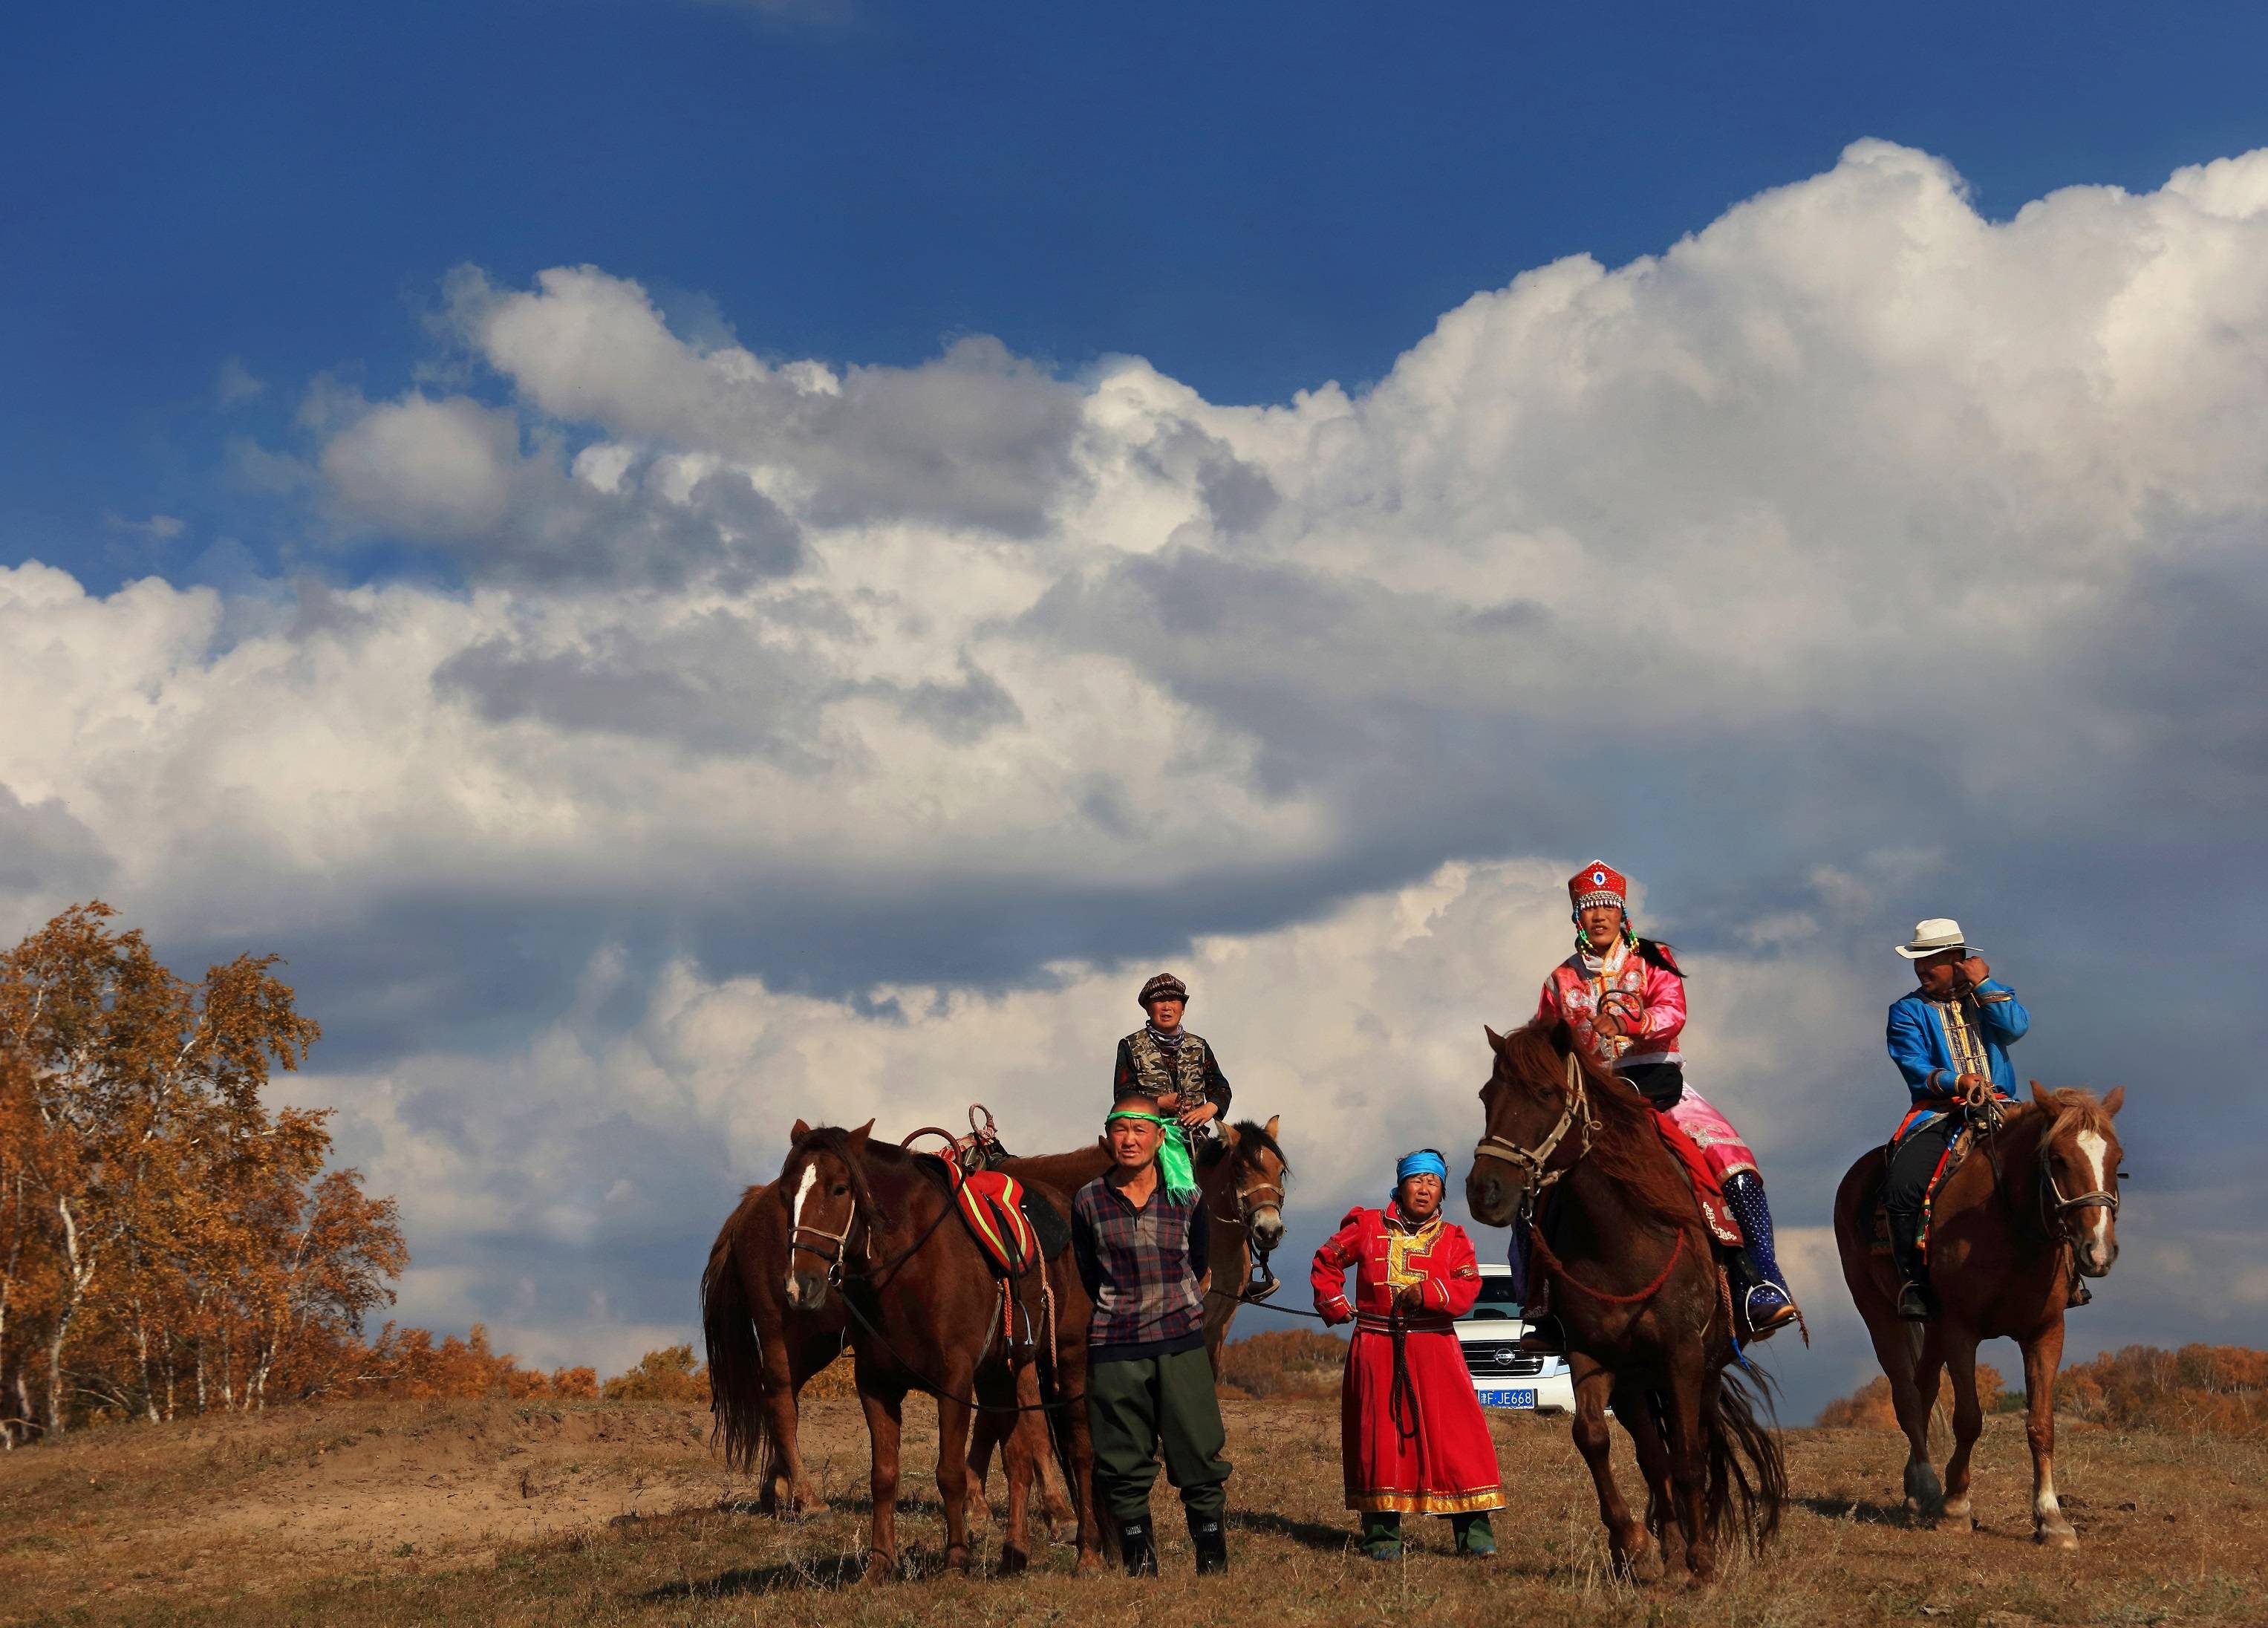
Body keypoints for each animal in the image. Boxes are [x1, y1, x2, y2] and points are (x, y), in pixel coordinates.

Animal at [775, 1124, 1102, 1577]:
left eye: (840, 1188)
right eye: (786, 1194)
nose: (799, 1286)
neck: (908, 1268)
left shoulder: (956, 1382)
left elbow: (950, 1473)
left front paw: (956, 1559)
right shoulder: (875, 1385)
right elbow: (884, 1476)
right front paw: (880, 1564)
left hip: (1069, 1359)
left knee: (1080, 1451)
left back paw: (1088, 1553)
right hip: (1003, 1371)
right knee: (1018, 1458)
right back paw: (1013, 1553)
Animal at [1460, 1024, 1778, 1587]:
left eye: (1546, 1093)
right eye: (1485, 1096)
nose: (1486, 1192)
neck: (1623, 1237)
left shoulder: (1683, 1356)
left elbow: (1689, 1458)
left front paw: (1703, 1562)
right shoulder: (1592, 1355)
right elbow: (1592, 1437)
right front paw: (1633, 1543)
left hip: (1704, 1369)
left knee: (1694, 1448)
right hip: (1635, 1384)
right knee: (1653, 1457)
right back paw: (1668, 1551)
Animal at [1823, 1088, 2122, 1551]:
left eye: (2117, 1159)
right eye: (2057, 1158)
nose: (2099, 1251)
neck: (2007, 1225)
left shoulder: (2045, 1334)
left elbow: (2042, 1424)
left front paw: (2052, 1519)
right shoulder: (1961, 1331)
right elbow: (1968, 1419)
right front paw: (1956, 1507)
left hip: (1932, 1328)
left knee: (1923, 1388)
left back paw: (1916, 1490)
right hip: (1878, 1311)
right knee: (1906, 1396)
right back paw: (1928, 1488)